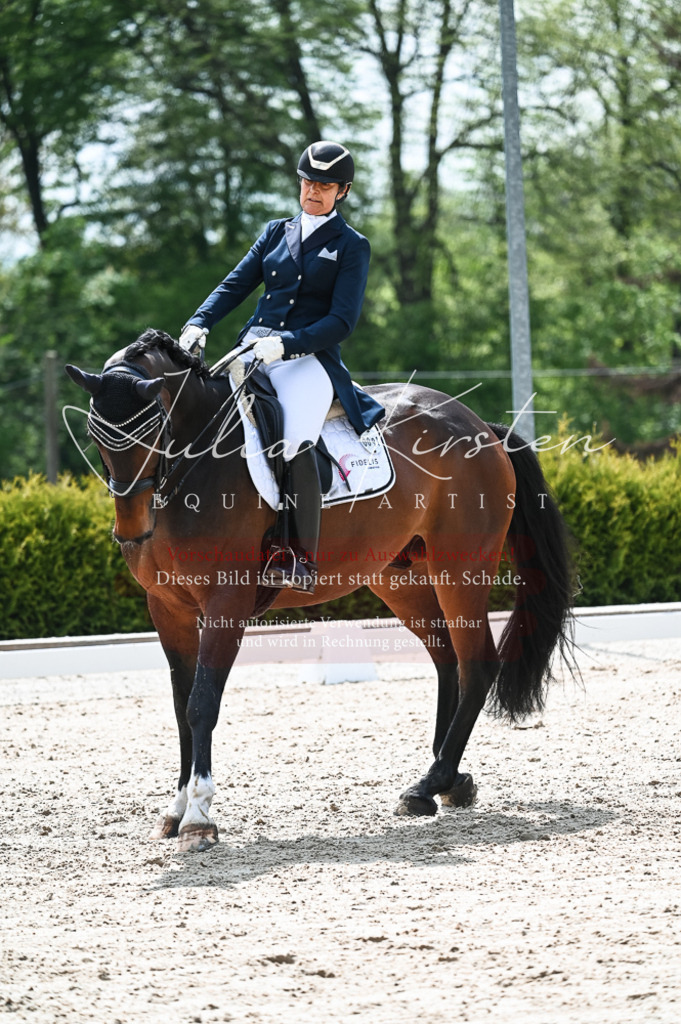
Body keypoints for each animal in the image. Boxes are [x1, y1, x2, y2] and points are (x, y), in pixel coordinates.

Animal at [65, 328, 574, 853]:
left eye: (153, 432)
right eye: (95, 438)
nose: (132, 532)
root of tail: (480, 427)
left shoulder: (226, 602)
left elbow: (201, 703)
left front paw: (199, 820)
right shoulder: (167, 607)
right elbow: (179, 704)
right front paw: (176, 809)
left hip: (461, 569)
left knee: (477, 663)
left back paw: (430, 782)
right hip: (400, 577)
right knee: (446, 659)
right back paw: (445, 780)